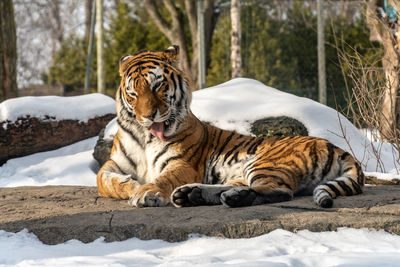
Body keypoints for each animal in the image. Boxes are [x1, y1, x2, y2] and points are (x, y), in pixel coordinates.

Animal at [95, 45, 364, 209]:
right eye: (133, 93)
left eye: (158, 85)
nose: (148, 116)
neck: (145, 137)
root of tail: (336, 147)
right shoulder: (114, 163)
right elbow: (103, 180)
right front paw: (131, 186)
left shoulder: (182, 163)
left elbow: (164, 178)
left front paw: (146, 191)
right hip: (244, 170)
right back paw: (192, 194)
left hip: (265, 162)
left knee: (279, 191)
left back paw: (232, 198)